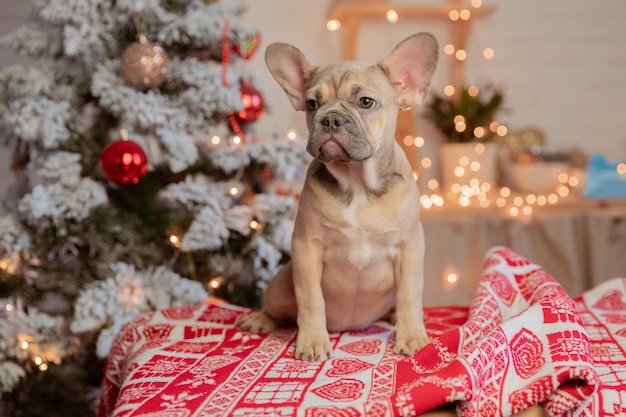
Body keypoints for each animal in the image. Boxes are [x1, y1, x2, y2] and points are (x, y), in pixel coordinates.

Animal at [236, 32, 436, 360]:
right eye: (311, 104)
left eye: (366, 102)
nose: (330, 119)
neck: (357, 184)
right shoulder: (306, 249)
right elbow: (311, 299)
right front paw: (313, 341)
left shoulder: (410, 247)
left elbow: (410, 294)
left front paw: (411, 335)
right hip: (280, 284)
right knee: (280, 309)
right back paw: (261, 318)